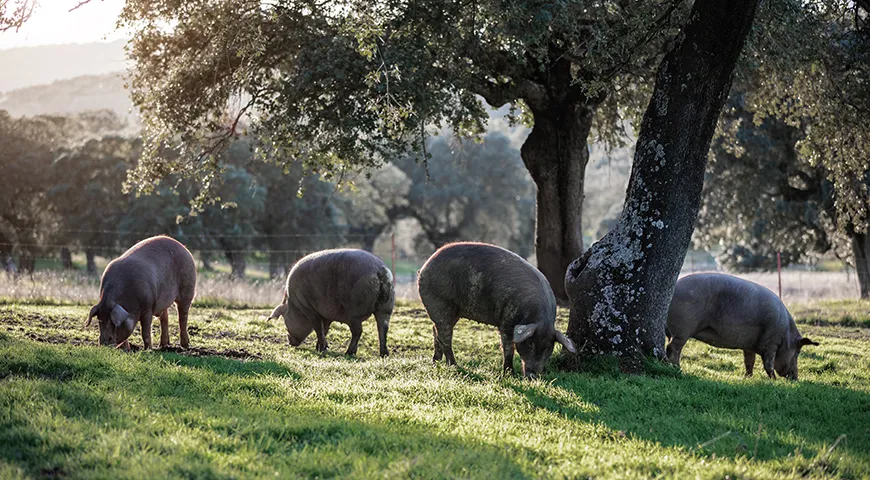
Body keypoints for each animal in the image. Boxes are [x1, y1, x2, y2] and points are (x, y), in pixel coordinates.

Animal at [268, 251, 396, 356]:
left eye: (285, 319)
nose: (289, 342)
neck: (294, 305)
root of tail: (380, 270)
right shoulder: (327, 315)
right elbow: (325, 329)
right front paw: (321, 347)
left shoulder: (309, 309)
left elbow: (318, 328)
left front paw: (321, 349)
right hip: (386, 308)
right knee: (383, 328)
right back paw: (384, 354)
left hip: (354, 312)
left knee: (358, 331)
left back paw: (348, 353)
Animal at [418, 242, 576, 380]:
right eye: (530, 344)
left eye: (547, 348)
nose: (533, 376)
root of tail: (424, 267)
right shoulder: (506, 322)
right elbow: (508, 349)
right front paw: (509, 374)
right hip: (439, 303)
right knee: (444, 337)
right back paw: (454, 366)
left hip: (453, 312)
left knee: (435, 331)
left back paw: (436, 362)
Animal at [672, 274, 820, 378]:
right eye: (797, 352)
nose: (796, 378)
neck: (786, 335)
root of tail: (676, 286)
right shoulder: (771, 341)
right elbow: (768, 363)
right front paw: (774, 380)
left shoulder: (749, 346)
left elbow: (749, 361)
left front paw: (748, 377)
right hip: (682, 330)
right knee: (673, 348)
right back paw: (676, 368)